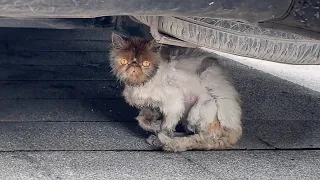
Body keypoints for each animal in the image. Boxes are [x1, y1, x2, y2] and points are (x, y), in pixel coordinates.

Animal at [109, 32, 241, 152]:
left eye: (146, 63)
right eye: (124, 61)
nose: (134, 66)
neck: (141, 84)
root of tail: (233, 132)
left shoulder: (174, 102)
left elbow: (166, 127)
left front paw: (161, 134)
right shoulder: (152, 106)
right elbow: (143, 120)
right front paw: (156, 127)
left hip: (209, 77)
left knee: (205, 126)